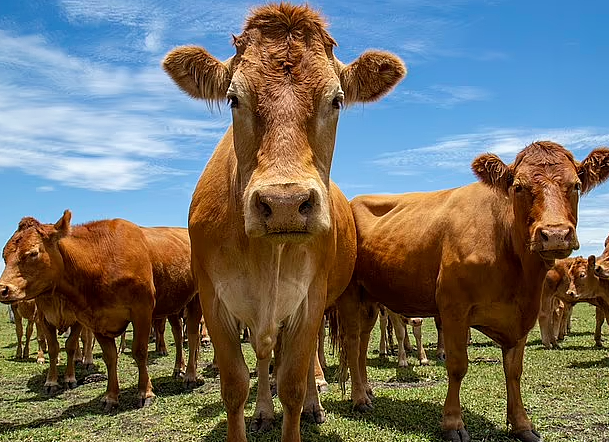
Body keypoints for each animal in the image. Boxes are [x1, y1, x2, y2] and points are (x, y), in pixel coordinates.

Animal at [0, 214, 202, 410]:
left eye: (33, 253)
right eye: (4, 255)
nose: (3, 289)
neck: (100, 259)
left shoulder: (142, 311)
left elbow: (139, 352)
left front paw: (145, 393)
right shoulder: (94, 319)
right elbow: (109, 357)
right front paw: (111, 397)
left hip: (196, 301)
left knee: (192, 335)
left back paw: (190, 375)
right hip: (174, 305)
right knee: (178, 335)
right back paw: (178, 368)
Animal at [160, 4, 404, 442]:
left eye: (337, 100)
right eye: (233, 98)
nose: (285, 203)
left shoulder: (310, 301)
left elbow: (291, 381)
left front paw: (304, 403)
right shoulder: (213, 301)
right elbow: (235, 384)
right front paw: (257, 412)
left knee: (333, 350)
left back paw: (322, 401)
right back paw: (264, 411)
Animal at [332, 142, 608, 442]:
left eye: (576, 185)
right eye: (518, 187)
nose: (555, 235)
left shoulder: (523, 314)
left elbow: (514, 370)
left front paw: (522, 424)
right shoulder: (454, 308)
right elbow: (457, 365)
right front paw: (453, 423)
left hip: (370, 298)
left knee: (361, 343)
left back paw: (367, 391)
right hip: (350, 294)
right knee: (352, 341)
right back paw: (359, 399)